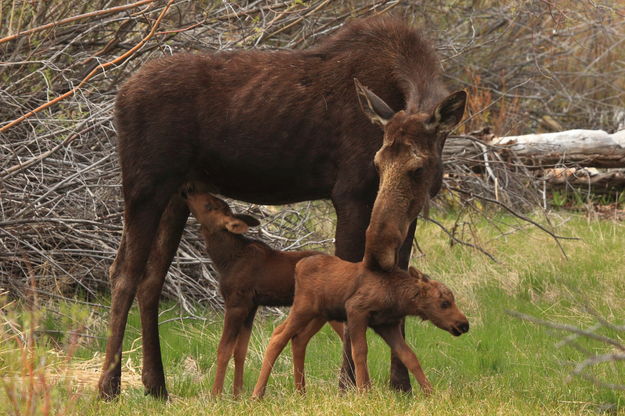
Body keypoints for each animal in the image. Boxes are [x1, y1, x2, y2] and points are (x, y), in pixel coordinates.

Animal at [251, 256, 466, 400]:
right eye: (444, 303)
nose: (464, 324)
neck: (399, 297)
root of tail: (298, 266)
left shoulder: (386, 324)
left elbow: (409, 356)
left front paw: (430, 393)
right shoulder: (356, 311)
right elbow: (360, 352)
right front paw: (365, 393)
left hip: (320, 315)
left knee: (299, 339)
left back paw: (301, 392)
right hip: (303, 308)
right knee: (278, 335)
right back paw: (257, 394)